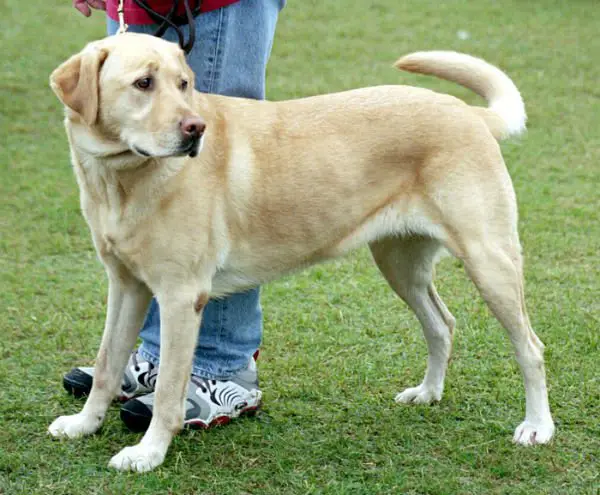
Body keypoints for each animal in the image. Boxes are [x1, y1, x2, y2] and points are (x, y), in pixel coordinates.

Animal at [49, 33, 556, 470]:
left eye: (184, 84)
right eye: (143, 83)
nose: (195, 129)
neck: (122, 180)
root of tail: (468, 113)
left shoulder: (180, 296)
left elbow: (169, 390)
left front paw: (148, 453)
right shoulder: (126, 286)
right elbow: (106, 363)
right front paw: (84, 424)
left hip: (489, 261)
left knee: (530, 347)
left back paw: (537, 427)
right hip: (400, 265)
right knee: (442, 324)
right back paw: (428, 393)